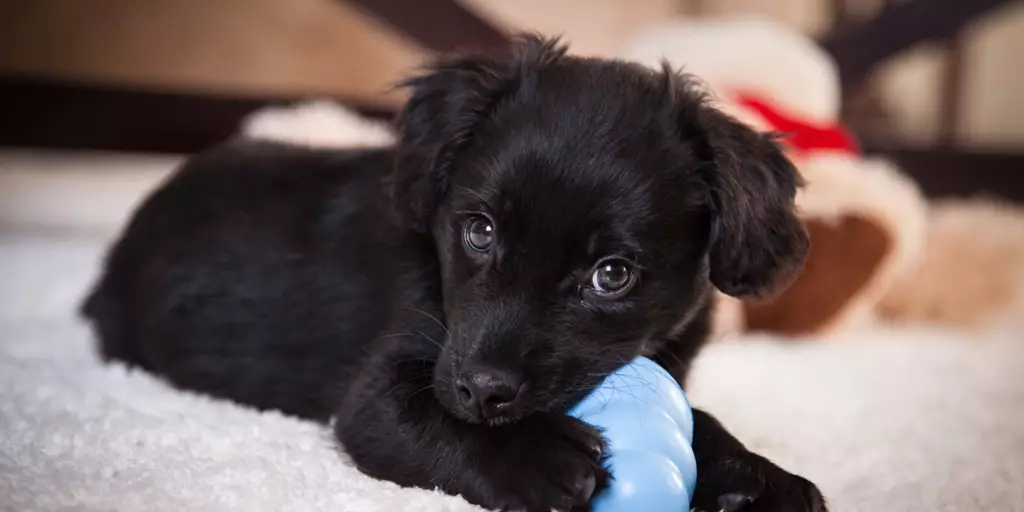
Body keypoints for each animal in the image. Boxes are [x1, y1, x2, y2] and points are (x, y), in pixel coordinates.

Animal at [83, 37, 827, 512]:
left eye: (611, 275)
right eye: (480, 231)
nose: (482, 391)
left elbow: (700, 415)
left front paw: (759, 476)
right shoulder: (378, 394)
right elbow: (422, 416)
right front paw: (535, 455)